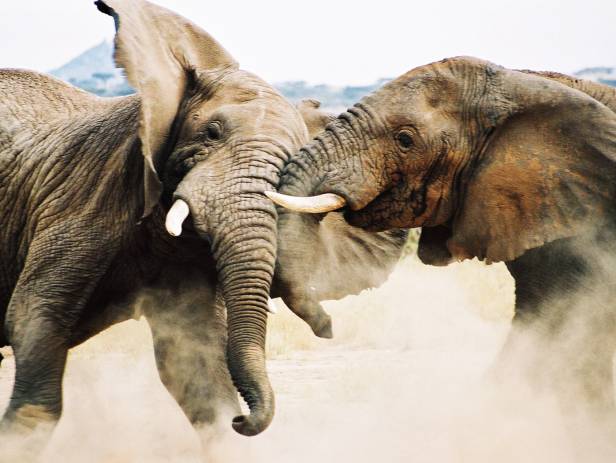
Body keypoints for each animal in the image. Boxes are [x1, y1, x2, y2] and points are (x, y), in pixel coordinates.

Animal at [0, 0, 404, 454]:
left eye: (291, 162)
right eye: (211, 133)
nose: (329, 328)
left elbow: (197, 365)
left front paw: (229, 422)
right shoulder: (84, 199)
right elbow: (35, 319)